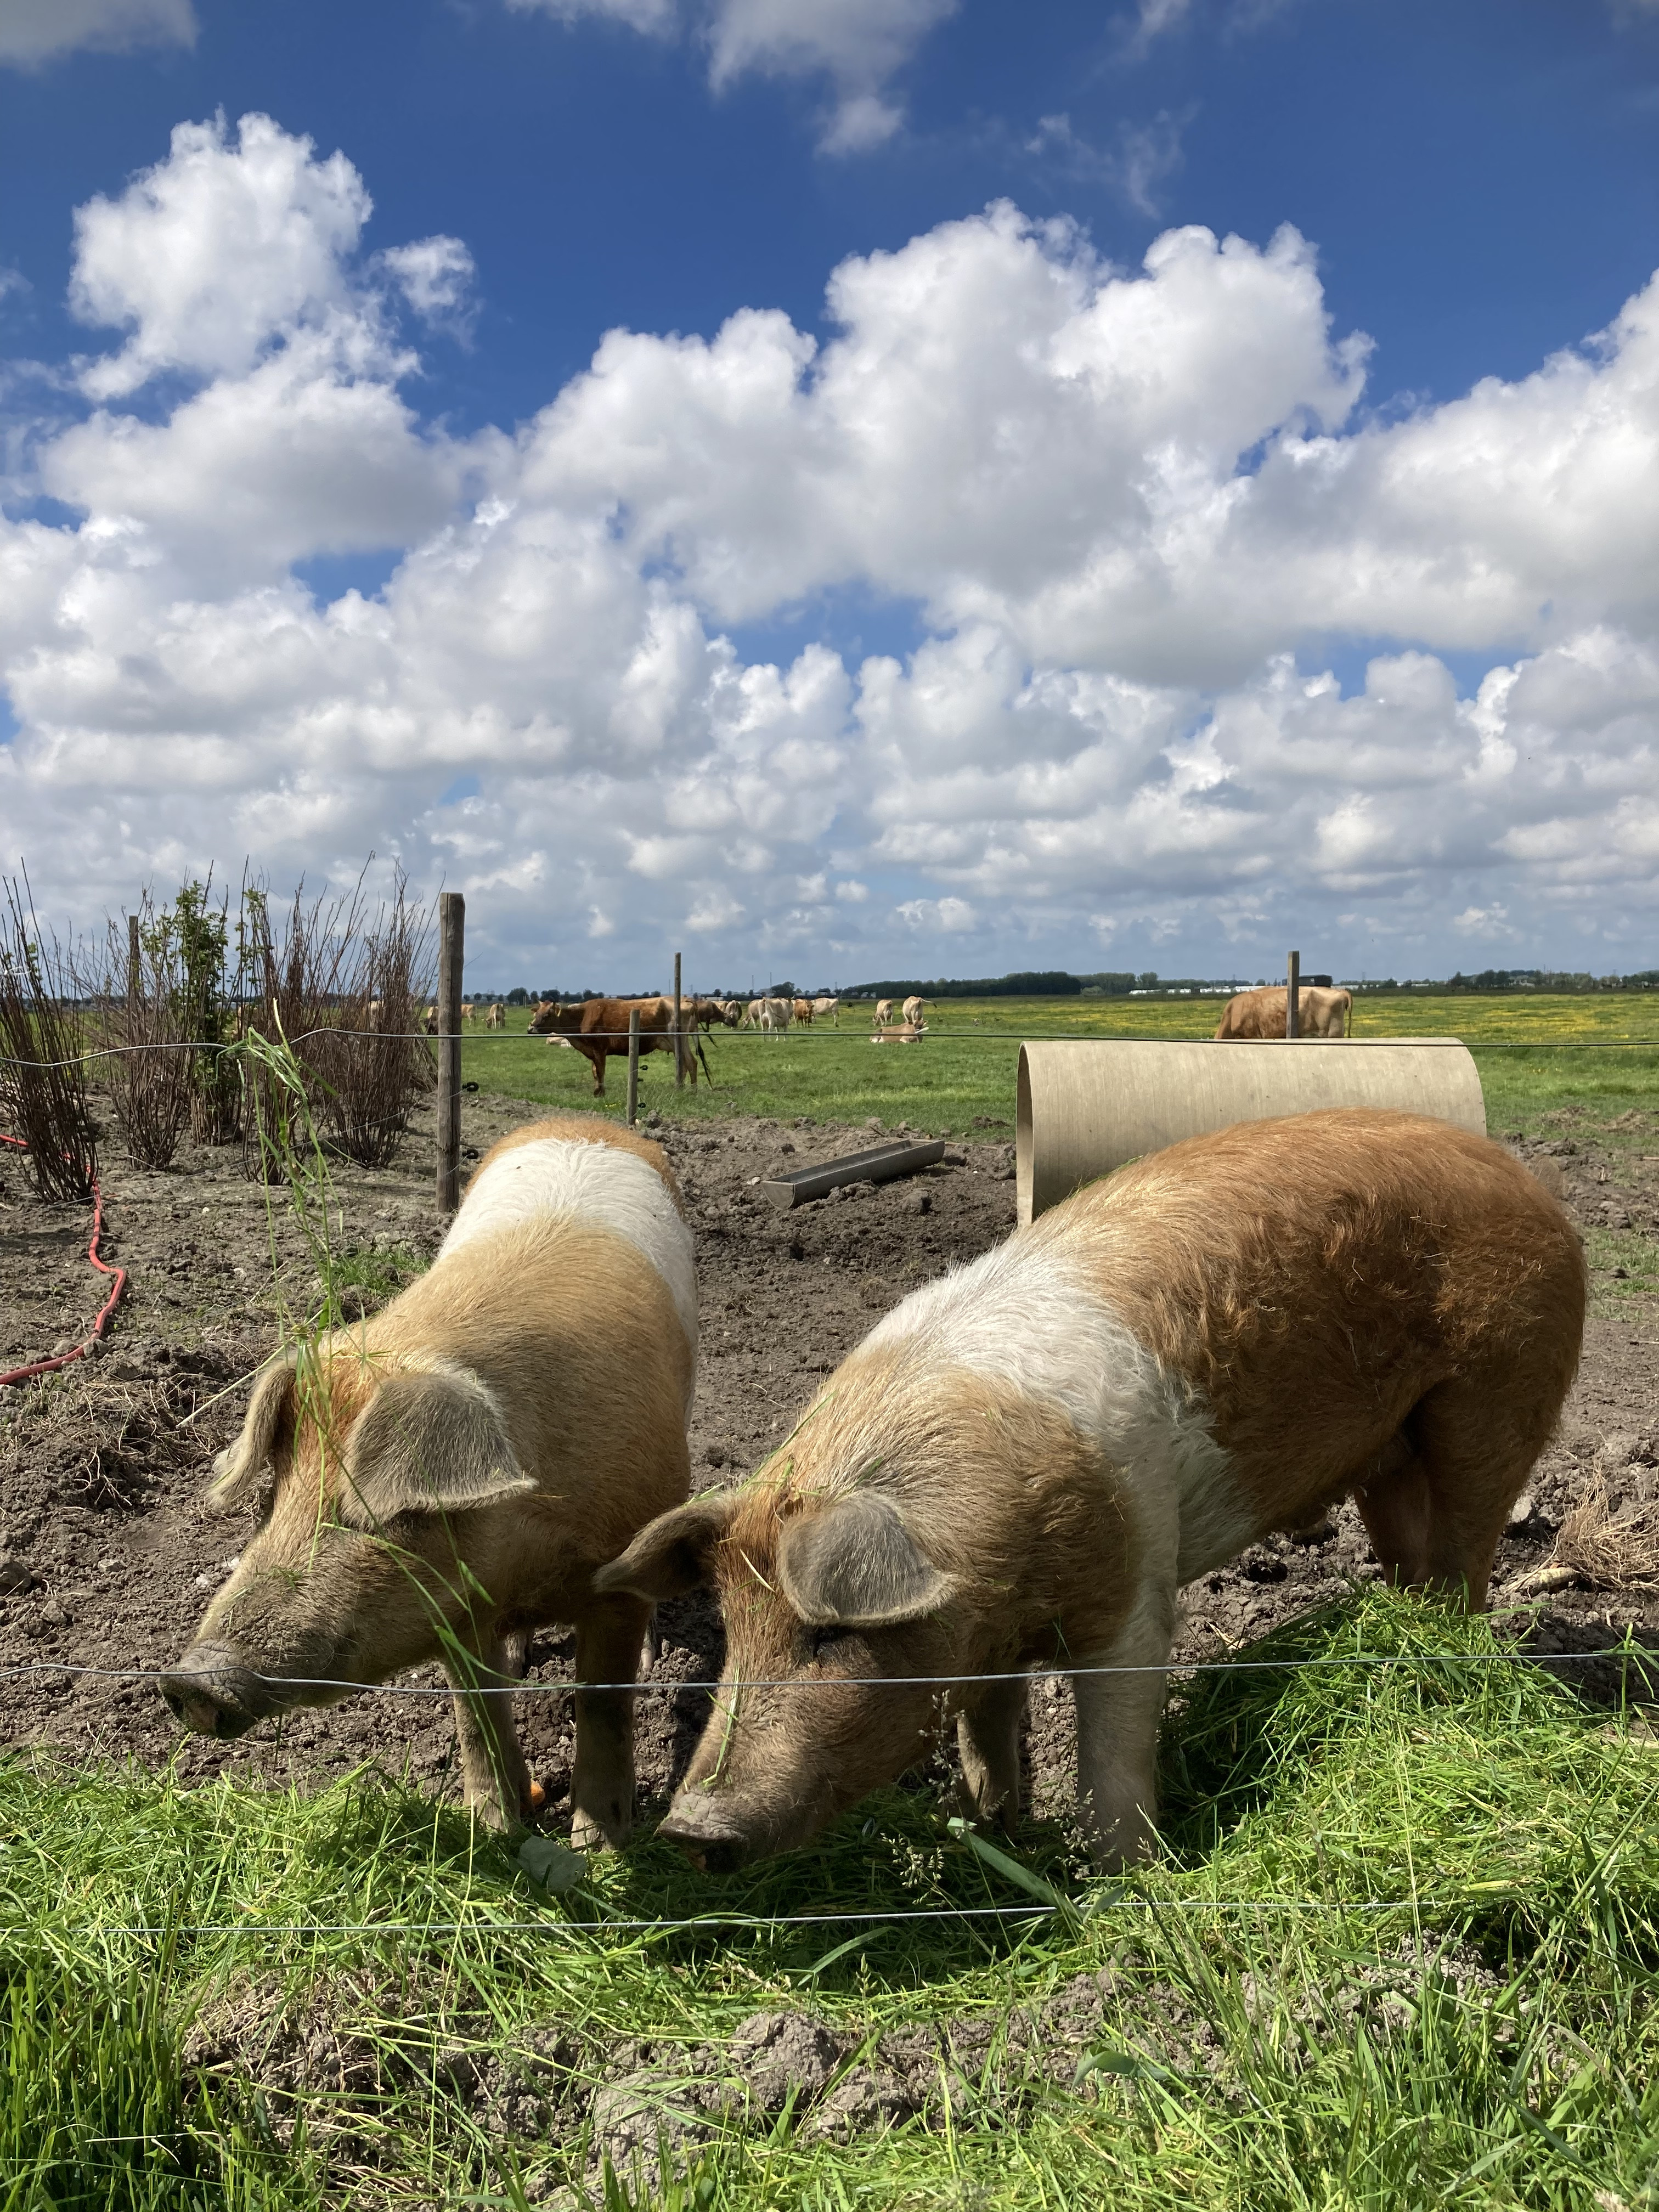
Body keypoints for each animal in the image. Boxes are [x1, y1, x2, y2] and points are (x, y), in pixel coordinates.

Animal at [160, 1115, 695, 1840]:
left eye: (395, 1515)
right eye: (272, 1498)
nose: (192, 1681)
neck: (528, 1546)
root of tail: (585, 1123)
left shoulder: (616, 1570)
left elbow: (605, 1704)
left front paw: (602, 1844)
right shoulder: (455, 1613)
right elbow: (476, 1716)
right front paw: (494, 1831)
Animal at [526, 1000, 695, 1092]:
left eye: (547, 1015)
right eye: (536, 1014)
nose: (530, 1029)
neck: (582, 1017)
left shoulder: (600, 1048)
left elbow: (600, 1071)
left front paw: (601, 1092)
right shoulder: (593, 1052)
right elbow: (595, 1071)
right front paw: (596, 1091)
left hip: (676, 1040)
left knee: (687, 1064)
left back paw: (687, 1090)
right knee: (691, 1063)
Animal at [597, 1106, 1583, 1867]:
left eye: (829, 1633)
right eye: (731, 1631)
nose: (689, 1829)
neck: (1001, 1582)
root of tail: (1528, 1181)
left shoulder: (1136, 1589)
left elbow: (1113, 1752)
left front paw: (1121, 1884)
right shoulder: (980, 1637)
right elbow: (986, 1729)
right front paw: (993, 1832)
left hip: (1499, 1387)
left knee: (1467, 1553)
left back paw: (1439, 1661)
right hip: (1389, 1450)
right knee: (1412, 1555)